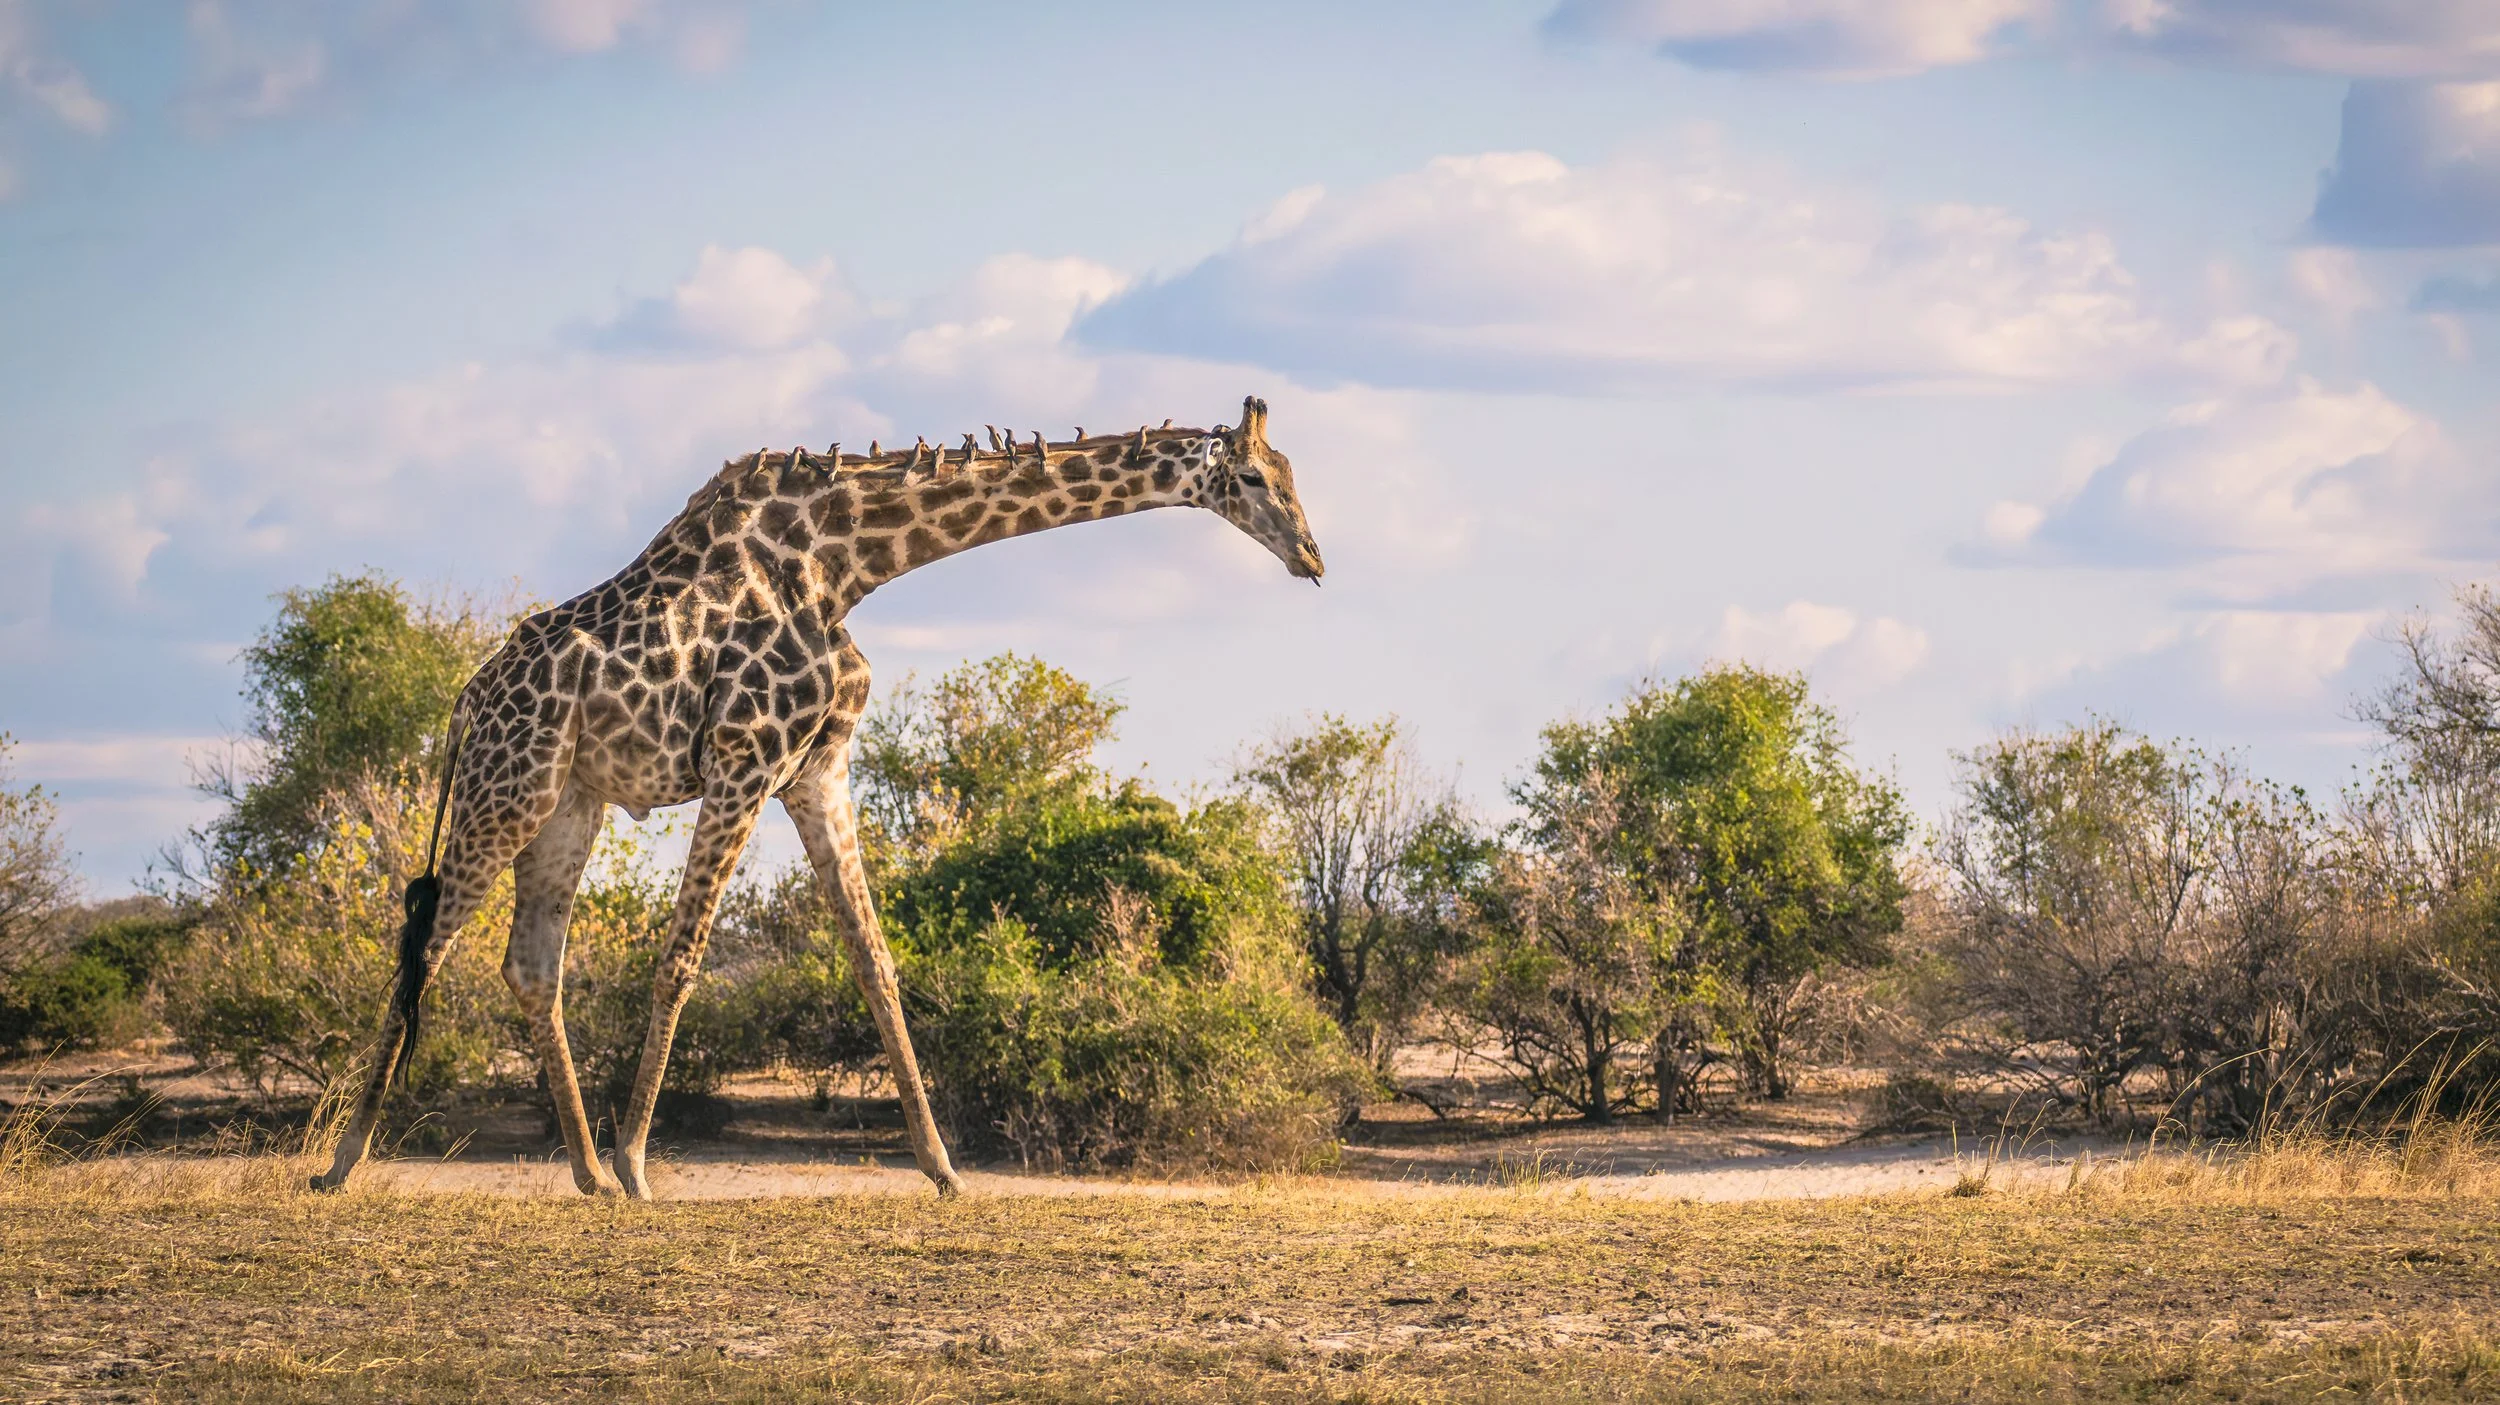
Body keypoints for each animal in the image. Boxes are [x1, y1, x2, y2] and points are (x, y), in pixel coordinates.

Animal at [309, 396, 1323, 1200]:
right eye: (1252, 478)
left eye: (1290, 474)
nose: (1312, 557)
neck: (850, 561)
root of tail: (465, 700)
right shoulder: (744, 756)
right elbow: (681, 957)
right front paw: (642, 1165)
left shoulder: (816, 765)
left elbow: (877, 962)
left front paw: (944, 1169)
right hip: (506, 789)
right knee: (426, 945)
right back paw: (347, 1162)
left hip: (569, 802)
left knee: (529, 963)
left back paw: (585, 1173)